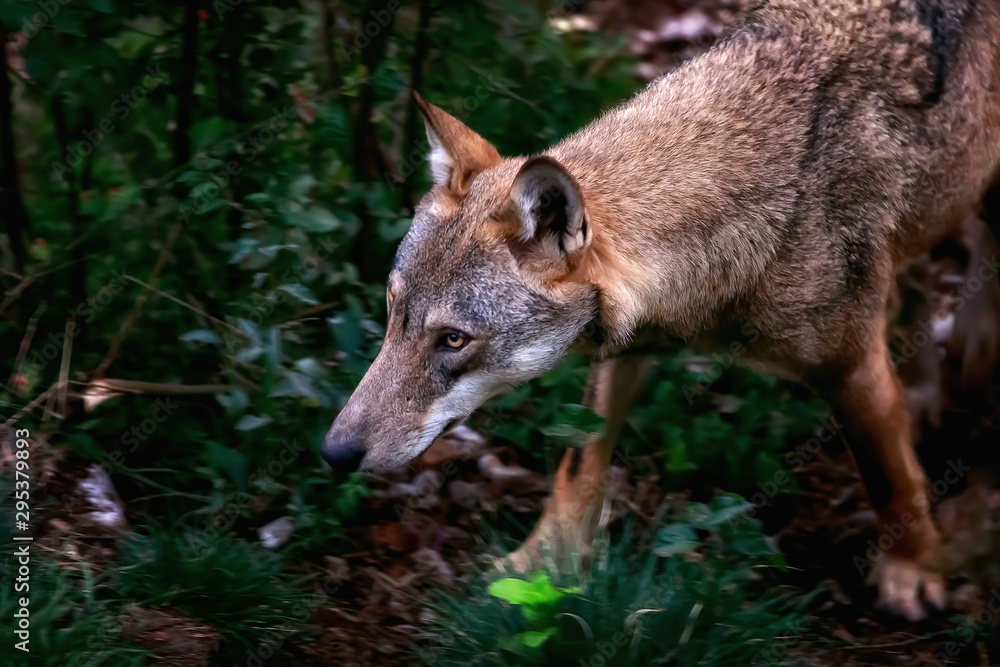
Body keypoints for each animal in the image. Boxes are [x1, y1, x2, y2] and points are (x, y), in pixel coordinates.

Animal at [323, 0, 1000, 621]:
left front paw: (913, 571)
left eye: (454, 340)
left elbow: (891, 479)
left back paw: (975, 347)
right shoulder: (629, 347)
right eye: (393, 311)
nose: (333, 454)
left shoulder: (851, 368)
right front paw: (543, 567)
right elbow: (577, 466)